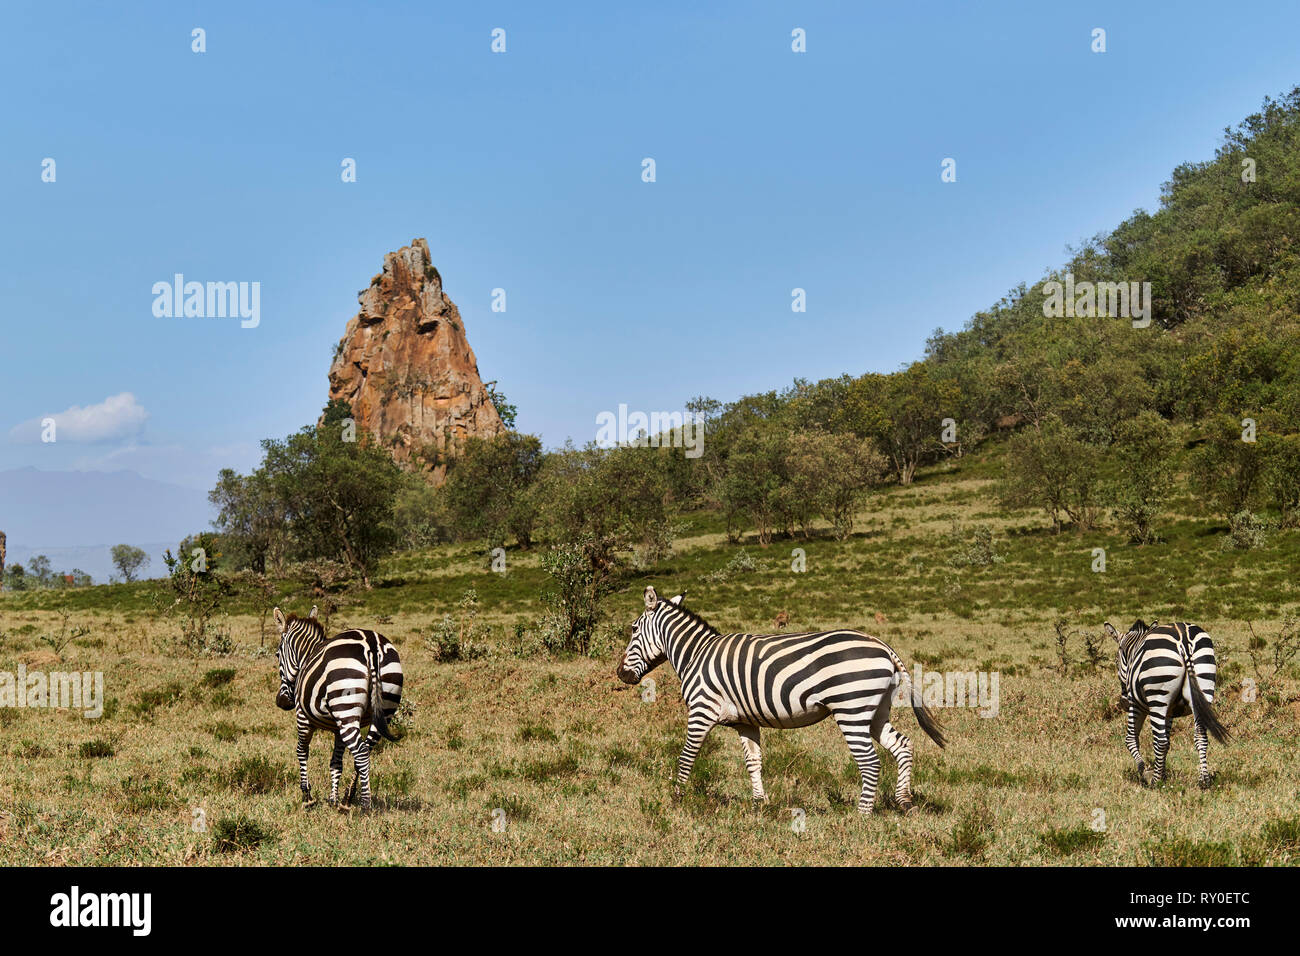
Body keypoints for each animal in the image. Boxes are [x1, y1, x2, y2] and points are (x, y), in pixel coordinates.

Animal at [273, 606, 404, 809]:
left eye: (277, 655)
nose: (282, 702)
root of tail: (372, 645)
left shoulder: (302, 716)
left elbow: (302, 751)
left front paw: (307, 796)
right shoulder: (337, 727)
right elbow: (336, 761)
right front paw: (333, 798)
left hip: (346, 710)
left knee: (361, 752)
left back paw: (365, 804)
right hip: (383, 709)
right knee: (365, 750)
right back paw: (346, 799)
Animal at [616, 586, 945, 814]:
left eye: (633, 629)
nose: (621, 674)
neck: (696, 654)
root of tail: (883, 645)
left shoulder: (701, 711)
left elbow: (686, 757)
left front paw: (677, 801)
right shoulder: (745, 722)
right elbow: (753, 761)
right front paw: (759, 804)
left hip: (851, 710)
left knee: (870, 761)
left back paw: (862, 814)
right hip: (875, 711)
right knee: (903, 746)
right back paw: (905, 802)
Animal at [1103, 619, 1228, 788]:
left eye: (1117, 661)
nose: (1123, 703)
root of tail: (1184, 639)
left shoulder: (1136, 705)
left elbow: (1131, 739)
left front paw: (1146, 772)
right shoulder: (1170, 710)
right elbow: (1168, 742)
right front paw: (1161, 773)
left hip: (1158, 695)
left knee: (1160, 741)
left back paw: (1155, 783)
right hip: (1204, 685)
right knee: (1200, 736)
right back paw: (1204, 780)